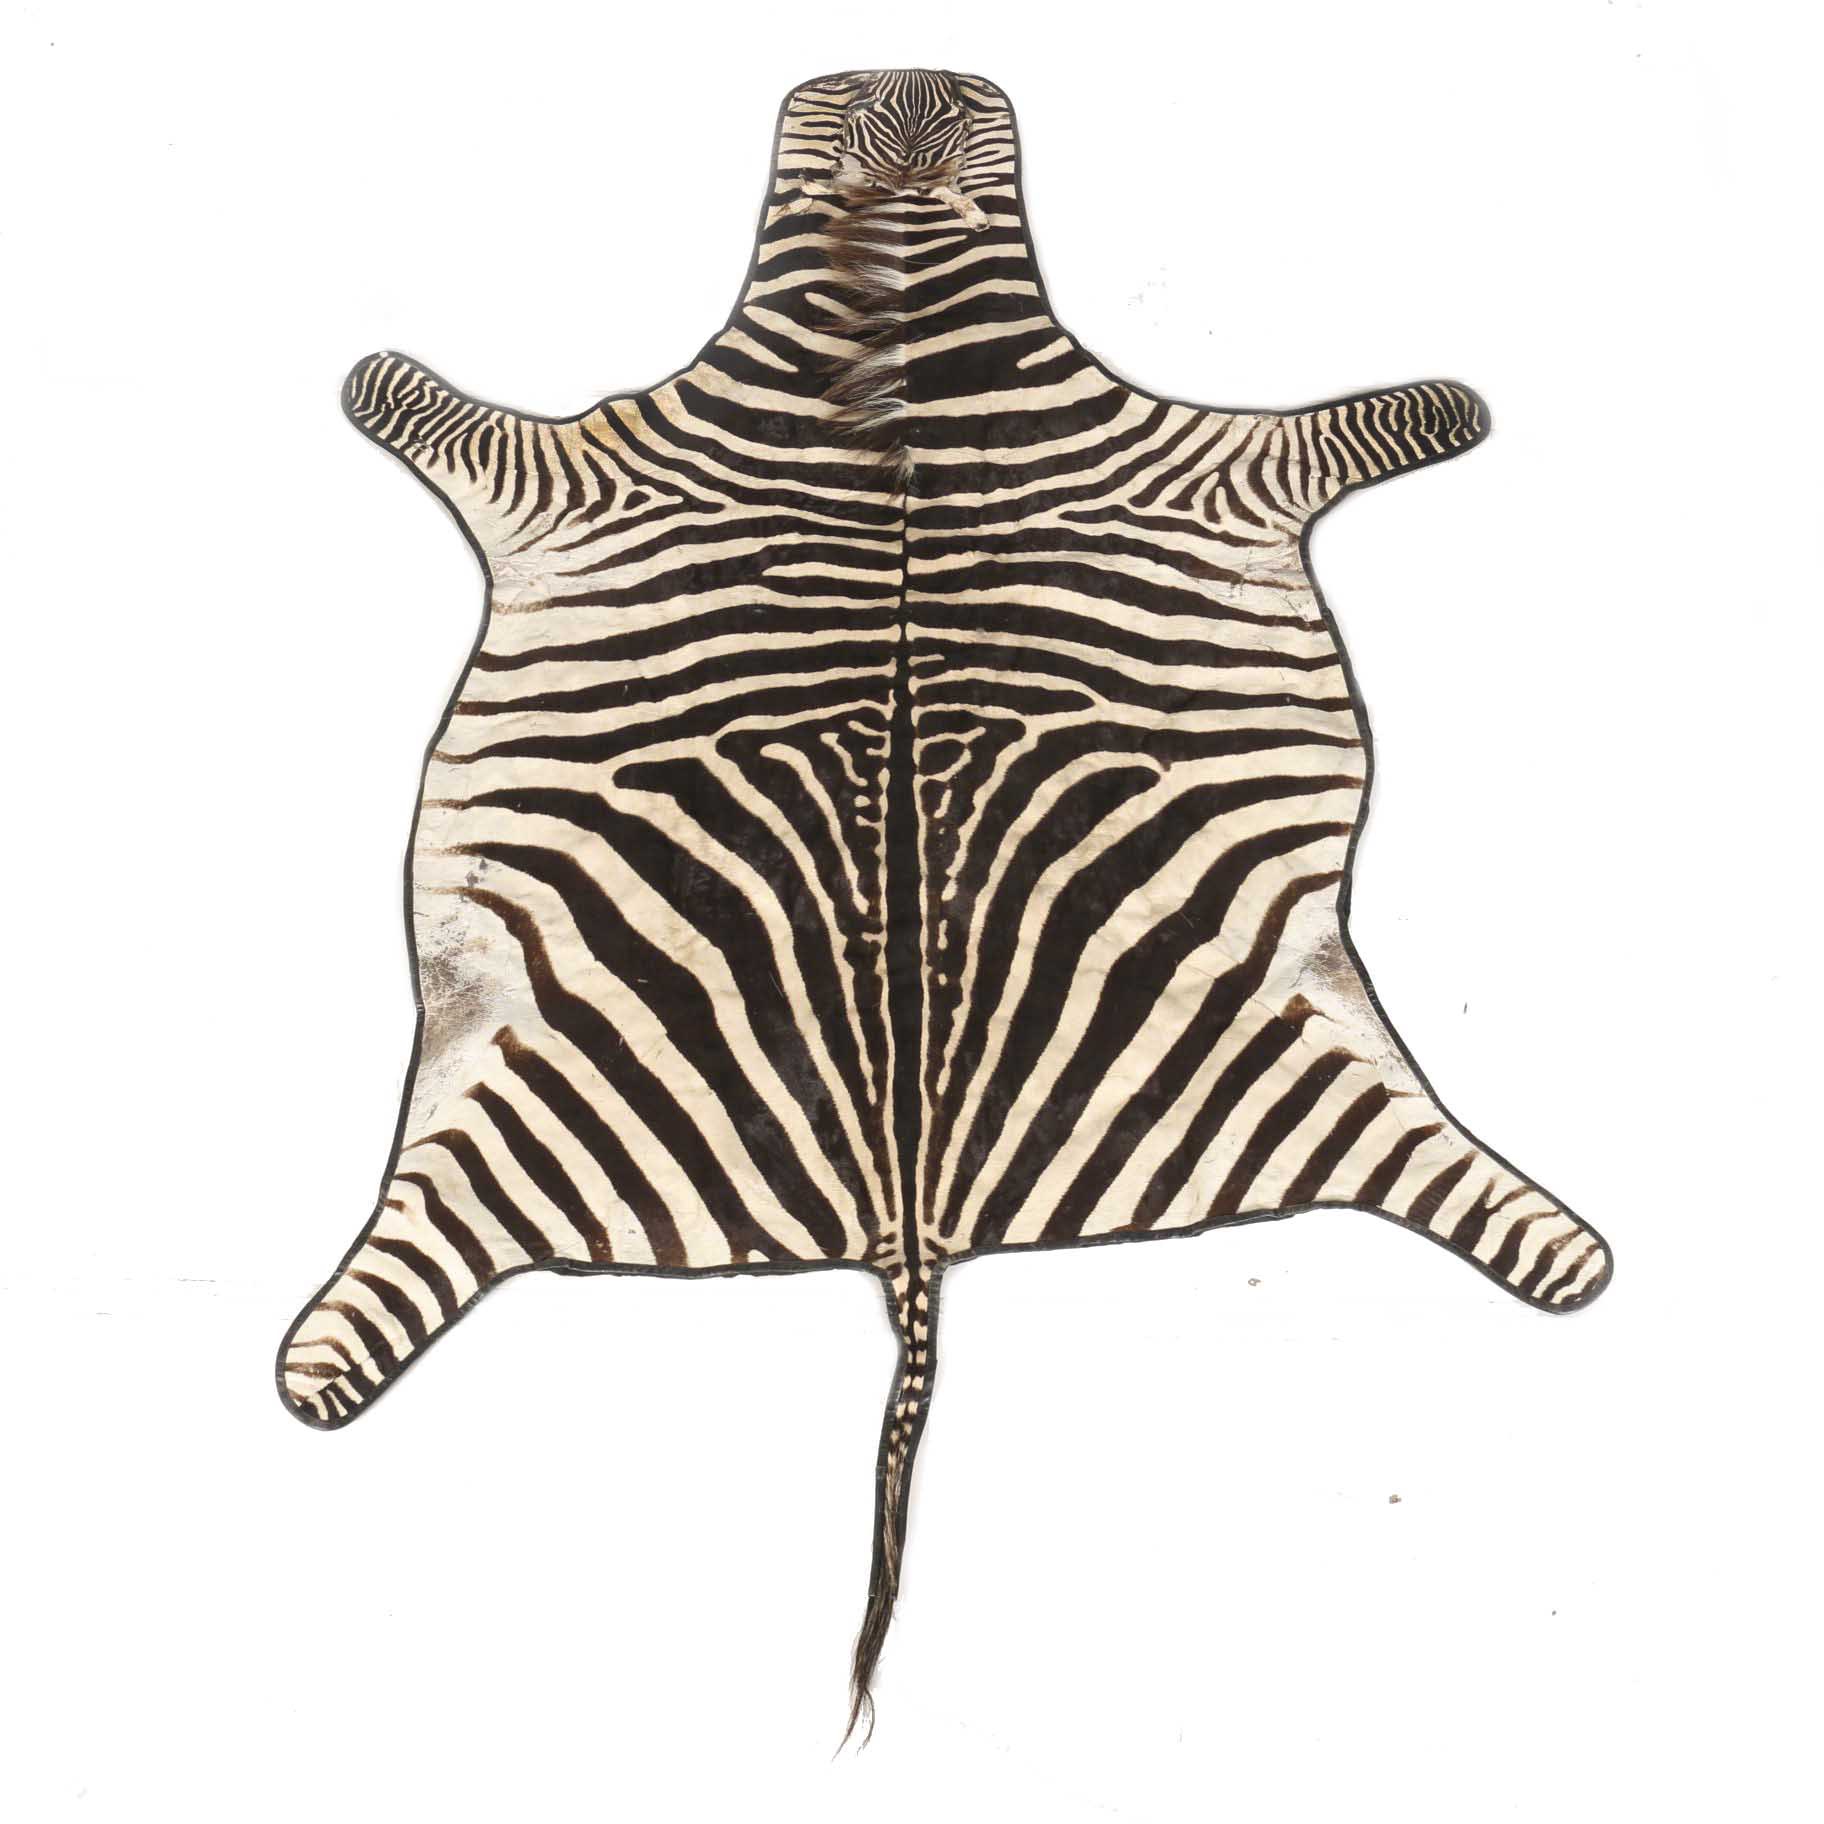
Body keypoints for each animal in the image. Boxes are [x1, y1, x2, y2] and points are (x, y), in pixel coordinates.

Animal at [279, 68, 1612, 1737]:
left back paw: (1567, 1252)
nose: (903, 75)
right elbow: (420, 404)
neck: (905, 323)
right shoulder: (585, 466)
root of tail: (911, 1219)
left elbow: (1377, 417)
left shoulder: (1210, 459)